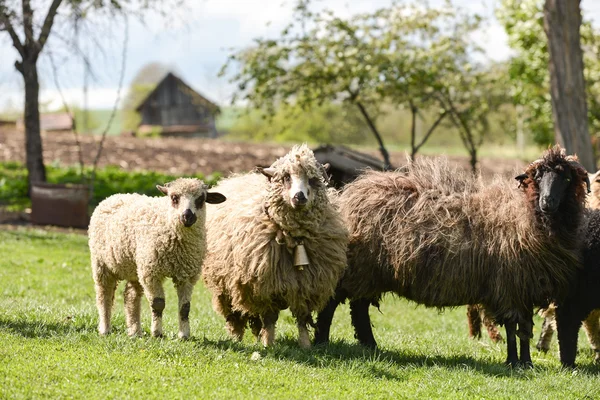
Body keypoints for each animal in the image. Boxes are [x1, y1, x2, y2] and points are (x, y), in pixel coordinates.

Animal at [204, 144, 350, 346]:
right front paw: (269, 344)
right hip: (225, 284)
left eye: (312, 179)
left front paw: (305, 346)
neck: (294, 238)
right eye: (286, 177)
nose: (299, 197)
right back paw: (237, 338)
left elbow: (302, 318)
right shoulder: (266, 285)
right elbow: (270, 318)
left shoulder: (306, 285)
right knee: (235, 314)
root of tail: (234, 178)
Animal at [314, 145, 592, 368]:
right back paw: (322, 341)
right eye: (539, 176)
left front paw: (525, 362)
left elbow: (523, 329)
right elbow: (513, 328)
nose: (547, 201)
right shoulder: (509, 286)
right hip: (354, 268)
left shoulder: (522, 288)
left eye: (567, 178)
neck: (524, 217)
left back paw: (370, 345)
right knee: (333, 302)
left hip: (369, 272)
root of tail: (351, 194)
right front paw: (514, 362)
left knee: (359, 307)